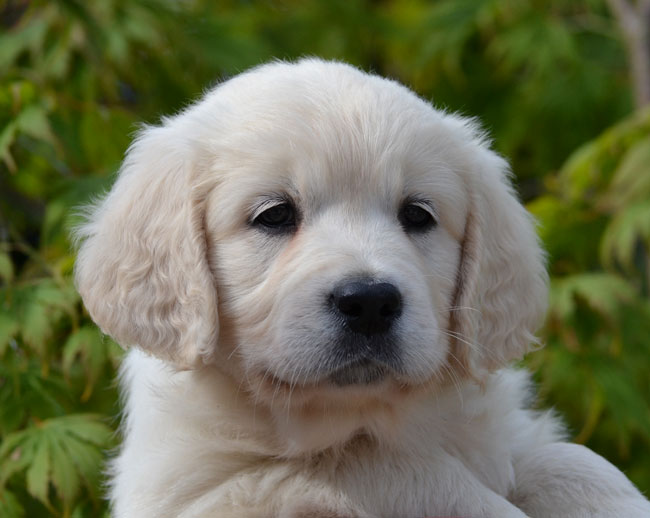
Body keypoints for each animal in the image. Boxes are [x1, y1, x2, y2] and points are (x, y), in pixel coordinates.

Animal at [72, 60, 648, 518]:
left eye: (417, 215)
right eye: (274, 215)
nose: (370, 302)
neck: (358, 414)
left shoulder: (502, 432)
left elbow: (572, 461)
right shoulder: (197, 493)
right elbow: (372, 466)